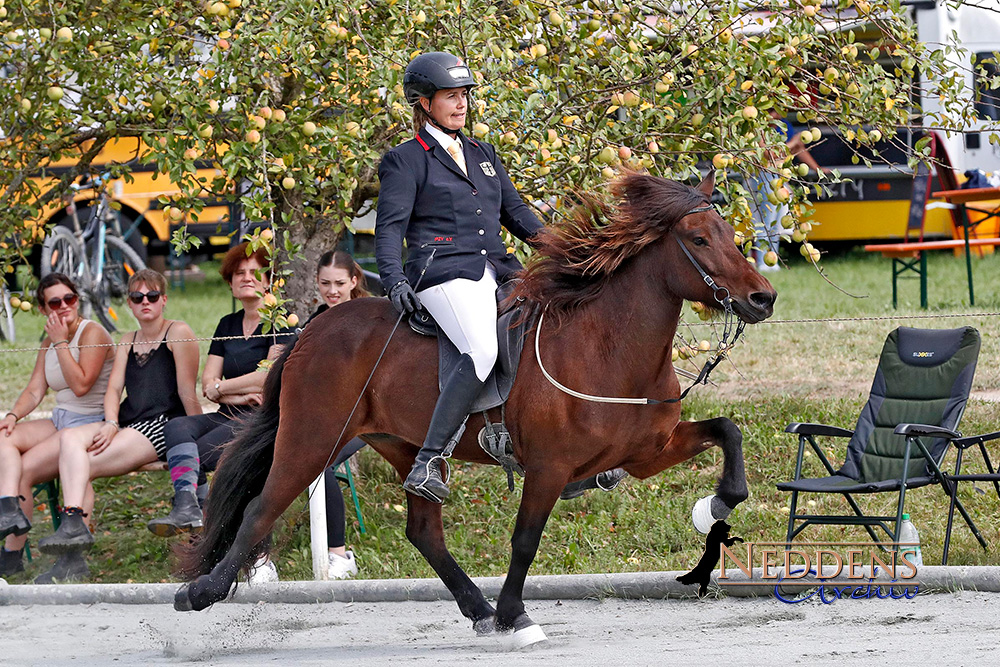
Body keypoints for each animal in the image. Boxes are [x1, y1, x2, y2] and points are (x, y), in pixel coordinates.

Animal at [176, 171, 776, 648]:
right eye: (698, 238)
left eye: (732, 235)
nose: (763, 298)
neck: (608, 345)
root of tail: (312, 329)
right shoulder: (549, 468)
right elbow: (526, 540)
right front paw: (516, 615)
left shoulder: (644, 454)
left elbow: (729, 433)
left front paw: (713, 507)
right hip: (312, 438)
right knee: (261, 507)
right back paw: (200, 591)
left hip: (406, 448)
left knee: (423, 530)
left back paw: (478, 609)